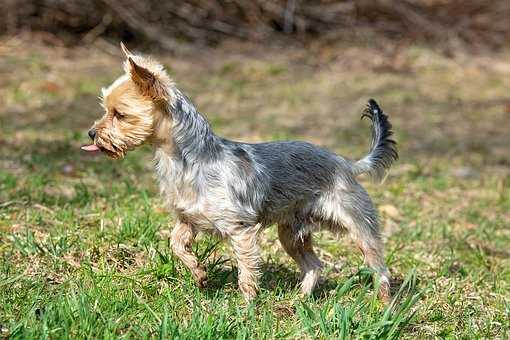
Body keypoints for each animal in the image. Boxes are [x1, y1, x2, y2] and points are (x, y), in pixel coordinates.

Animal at [82, 43, 398, 302]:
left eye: (119, 114)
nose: (91, 133)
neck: (186, 161)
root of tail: (346, 163)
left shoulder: (240, 230)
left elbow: (246, 272)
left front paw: (247, 307)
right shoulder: (188, 220)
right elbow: (176, 244)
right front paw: (199, 274)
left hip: (358, 225)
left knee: (379, 267)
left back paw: (383, 305)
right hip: (291, 233)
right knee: (314, 265)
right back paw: (300, 300)